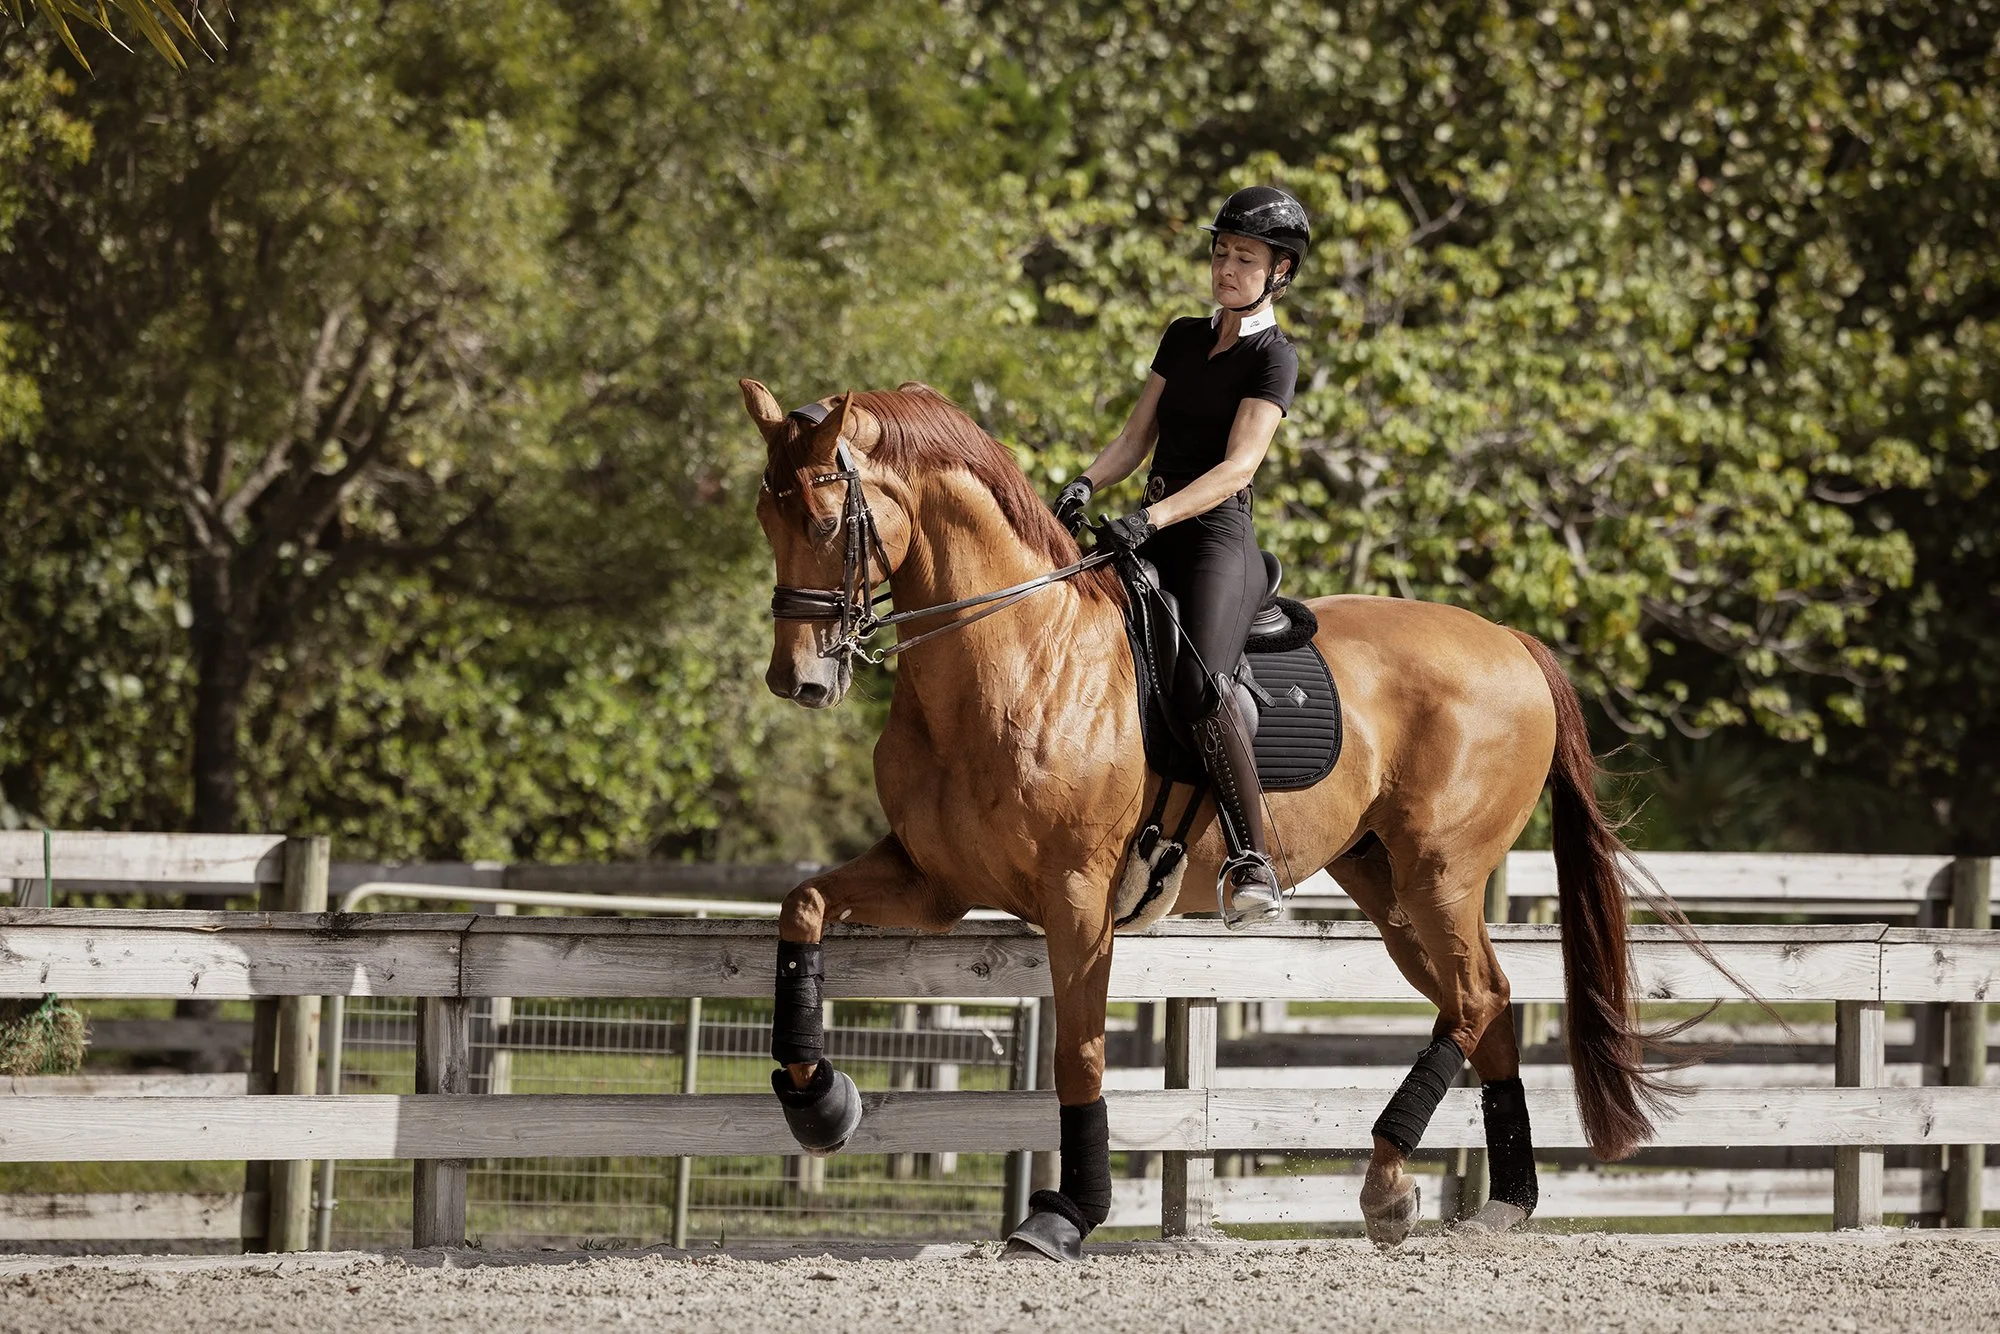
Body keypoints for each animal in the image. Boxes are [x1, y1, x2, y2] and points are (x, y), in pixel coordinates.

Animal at [743, 376, 1671, 1255]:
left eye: (825, 520)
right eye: (764, 517)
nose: (798, 680)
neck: (1014, 658)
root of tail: (1512, 641)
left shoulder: (1076, 899)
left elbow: (1079, 1055)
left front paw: (1066, 1217)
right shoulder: (933, 884)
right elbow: (803, 908)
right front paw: (819, 1103)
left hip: (1440, 875)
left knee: (1479, 996)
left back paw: (1387, 1181)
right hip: (1391, 887)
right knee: (1486, 1004)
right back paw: (1501, 1202)